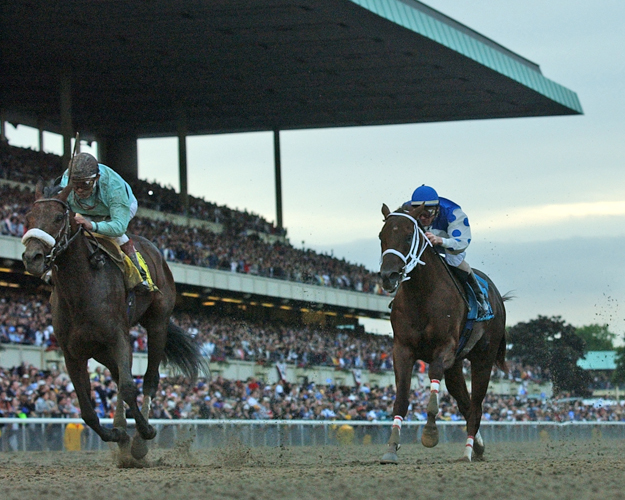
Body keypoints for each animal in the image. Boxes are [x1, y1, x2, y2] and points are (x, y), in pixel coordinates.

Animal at [21, 182, 207, 458]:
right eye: (28, 217)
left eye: (57, 218)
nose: (32, 258)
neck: (80, 290)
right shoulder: (72, 353)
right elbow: (87, 409)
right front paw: (117, 434)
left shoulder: (119, 337)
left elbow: (129, 386)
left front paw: (143, 434)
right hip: (100, 350)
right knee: (118, 377)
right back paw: (121, 425)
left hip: (157, 322)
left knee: (149, 378)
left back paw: (140, 435)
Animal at [376, 202, 508, 460]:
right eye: (381, 236)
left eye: (409, 236)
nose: (388, 276)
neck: (422, 294)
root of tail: (498, 298)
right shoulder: (402, 349)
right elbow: (401, 397)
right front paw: (391, 447)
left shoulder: (445, 347)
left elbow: (434, 378)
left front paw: (429, 432)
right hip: (456, 365)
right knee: (465, 403)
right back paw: (478, 446)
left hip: (483, 359)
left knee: (476, 405)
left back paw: (468, 451)